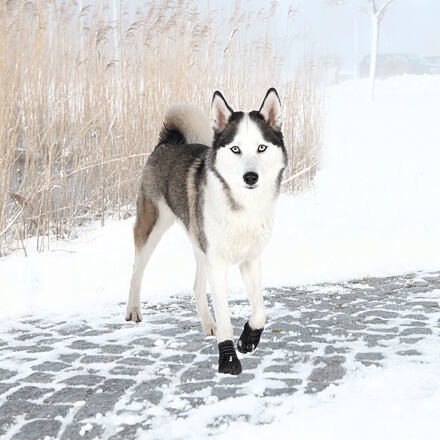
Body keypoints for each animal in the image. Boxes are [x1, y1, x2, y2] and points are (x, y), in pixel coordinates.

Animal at [125, 88, 288, 374]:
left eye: (261, 147)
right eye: (235, 149)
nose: (250, 177)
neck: (242, 207)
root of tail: (167, 142)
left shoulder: (250, 260)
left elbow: (260, 312)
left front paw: (248, 338)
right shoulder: (218, 264)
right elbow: (225, 316)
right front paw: (228, 358)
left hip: (200, 245)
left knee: (196, 287)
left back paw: (208, 324)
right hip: (152, 227)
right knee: (137, 269)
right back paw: (133, 310)